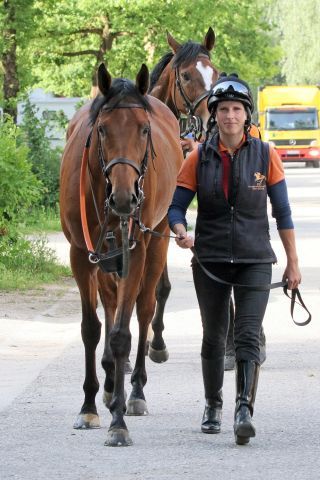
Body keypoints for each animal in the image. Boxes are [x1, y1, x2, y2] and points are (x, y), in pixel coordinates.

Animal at [60, 63, 184, 446]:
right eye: (101, 129)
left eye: (144, 129)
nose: (126, 198)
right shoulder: (81, 254)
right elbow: (91, 328)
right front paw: (88, 406)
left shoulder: (136, 249)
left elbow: (121, 334)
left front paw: (118, 422)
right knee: (112, 304)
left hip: (155, 243)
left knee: (143, 312)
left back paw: (135, 392)